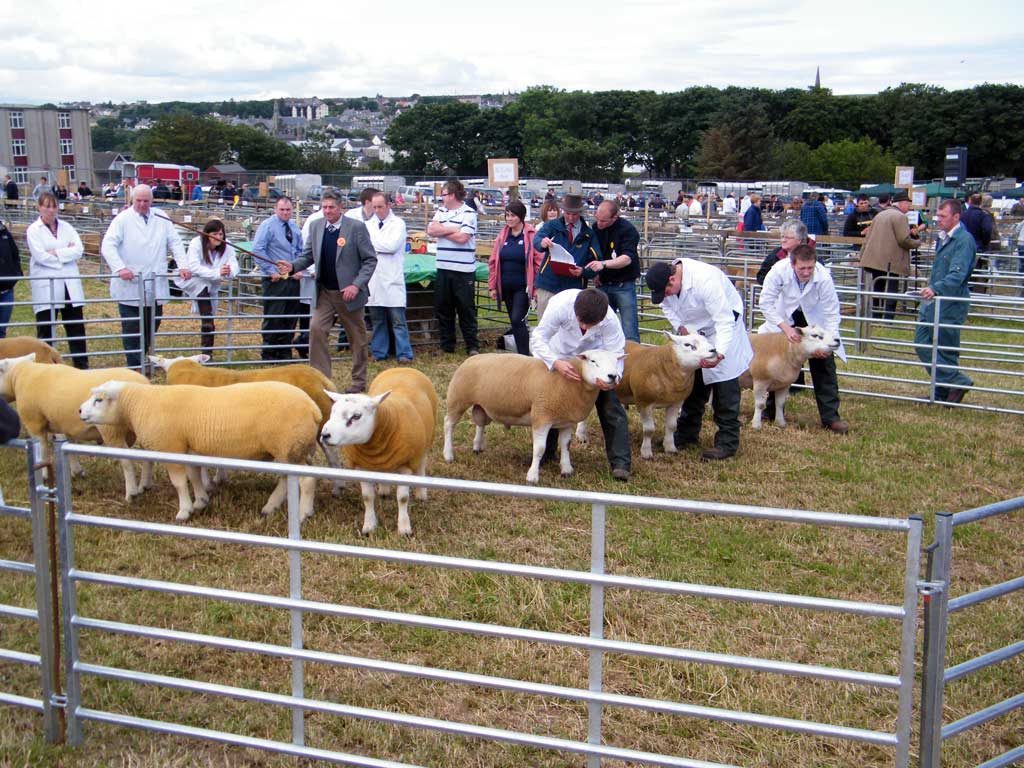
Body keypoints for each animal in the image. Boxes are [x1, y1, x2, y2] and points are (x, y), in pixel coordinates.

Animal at [0, 354, 151, 499]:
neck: (19, 374)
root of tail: (143, 383)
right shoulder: (65, 425)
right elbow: (69, 446)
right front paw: (77, 471)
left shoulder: (34, 422)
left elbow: (42, 451)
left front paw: (43, 476)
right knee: (147, 456)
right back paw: (144, 485)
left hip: (111, 430)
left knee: (127, 461)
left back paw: (131, 492)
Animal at [78, 382, 319, 528]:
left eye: (99, 400)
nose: (79, 411)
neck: (140, 404)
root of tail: (312, 406)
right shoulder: (189, 449)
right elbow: (194, 476)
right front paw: (200, 502)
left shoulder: (171, 447)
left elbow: (179, 483)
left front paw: (183, 511)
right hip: (291, 450)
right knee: (287, 480)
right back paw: (270, 507)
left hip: (289, 448)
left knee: (307, 480)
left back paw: (303, 514)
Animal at [317, 368, 434, 536]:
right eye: (332, 412)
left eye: (356, 416)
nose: (325, 435)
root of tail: (402, 369)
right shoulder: (361, 466)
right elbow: (367, 497)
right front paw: (369, 526)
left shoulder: (406, 465)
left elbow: (403, 498)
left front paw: (404, 528)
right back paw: (384, 491)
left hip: (425, 442)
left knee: (421, 464)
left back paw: (421, 493)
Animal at [444, 352, 618, 483]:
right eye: (593, 361)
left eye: (616, 361)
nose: (613, 376)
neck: (570, 383)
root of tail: (472, 358)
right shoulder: (542, 416)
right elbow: (539, 449)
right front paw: (532, 476)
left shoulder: (566, 421)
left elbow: (566, 445)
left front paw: (566, 469)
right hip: (457, 399)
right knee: (448, 425)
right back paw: (448, 455)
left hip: (482, 405)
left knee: (480, 423)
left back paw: (477, 447)